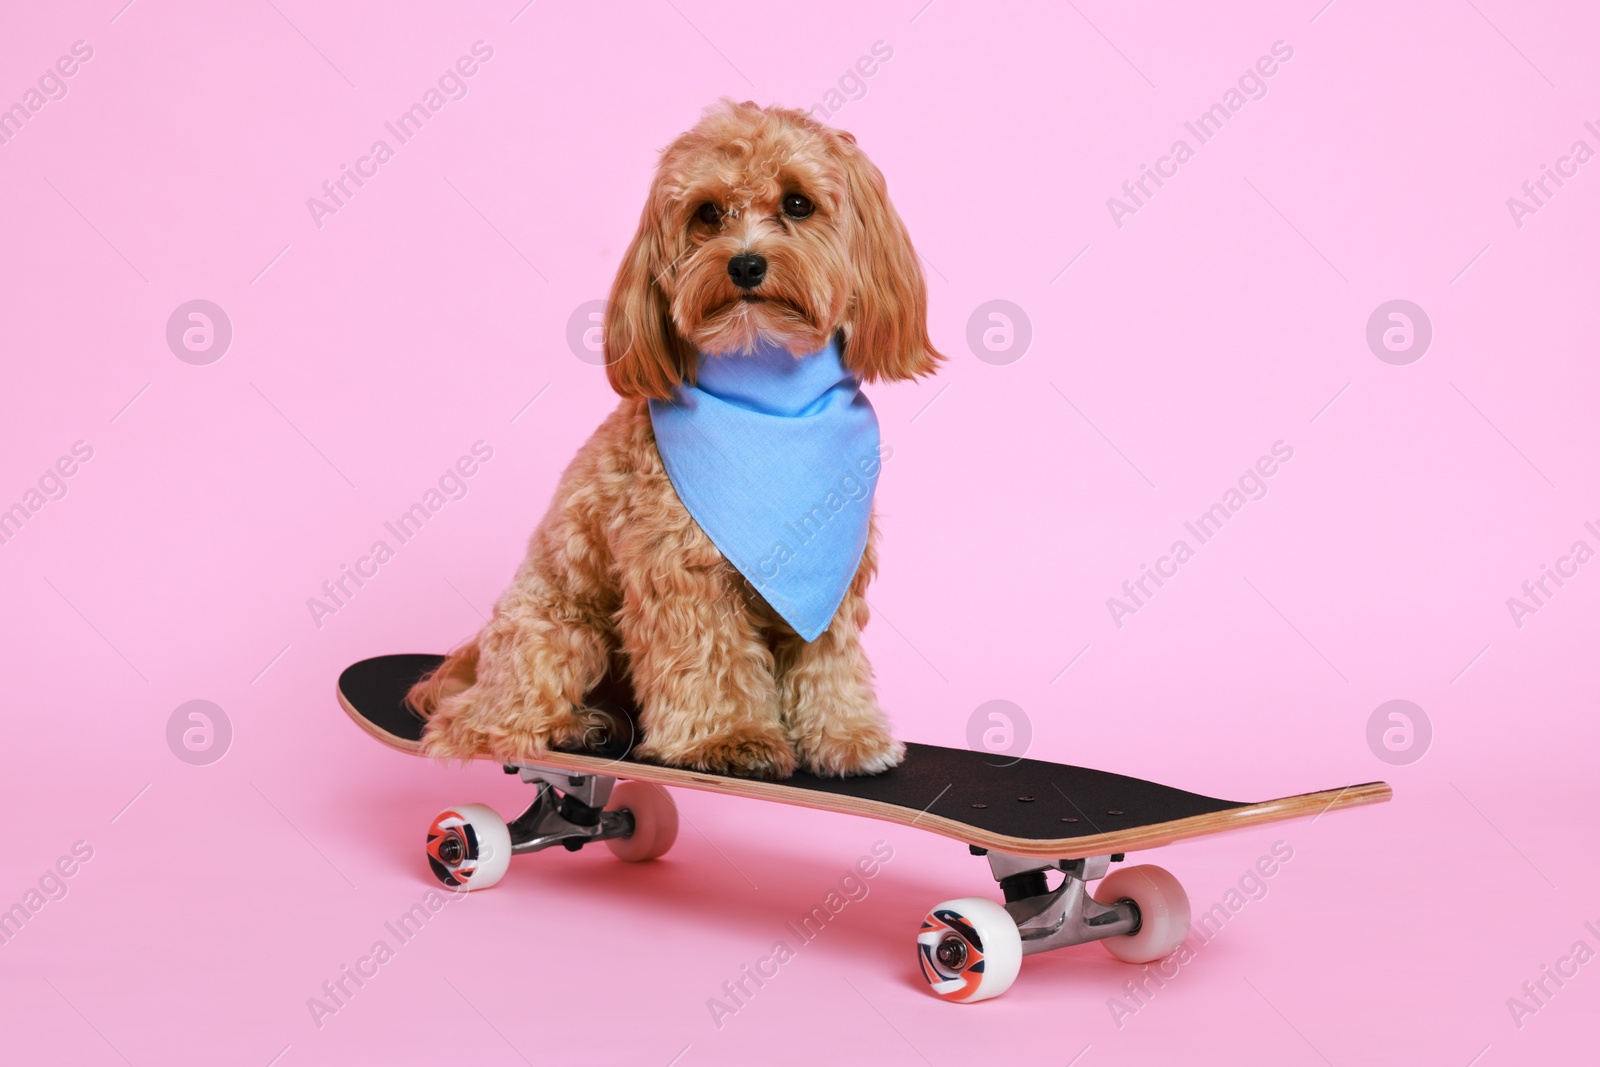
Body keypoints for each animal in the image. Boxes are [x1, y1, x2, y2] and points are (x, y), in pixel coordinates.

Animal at [406, 102, 940, 777]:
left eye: (797, 204)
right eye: (707, 213)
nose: (745, 264)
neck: (767, 390)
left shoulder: (830, 578)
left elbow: (829, 663)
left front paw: (846, 736)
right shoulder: (680, 571)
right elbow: (709, 660)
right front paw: (728, 737)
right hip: (558, 631)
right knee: (480, 722)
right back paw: (569, 724)